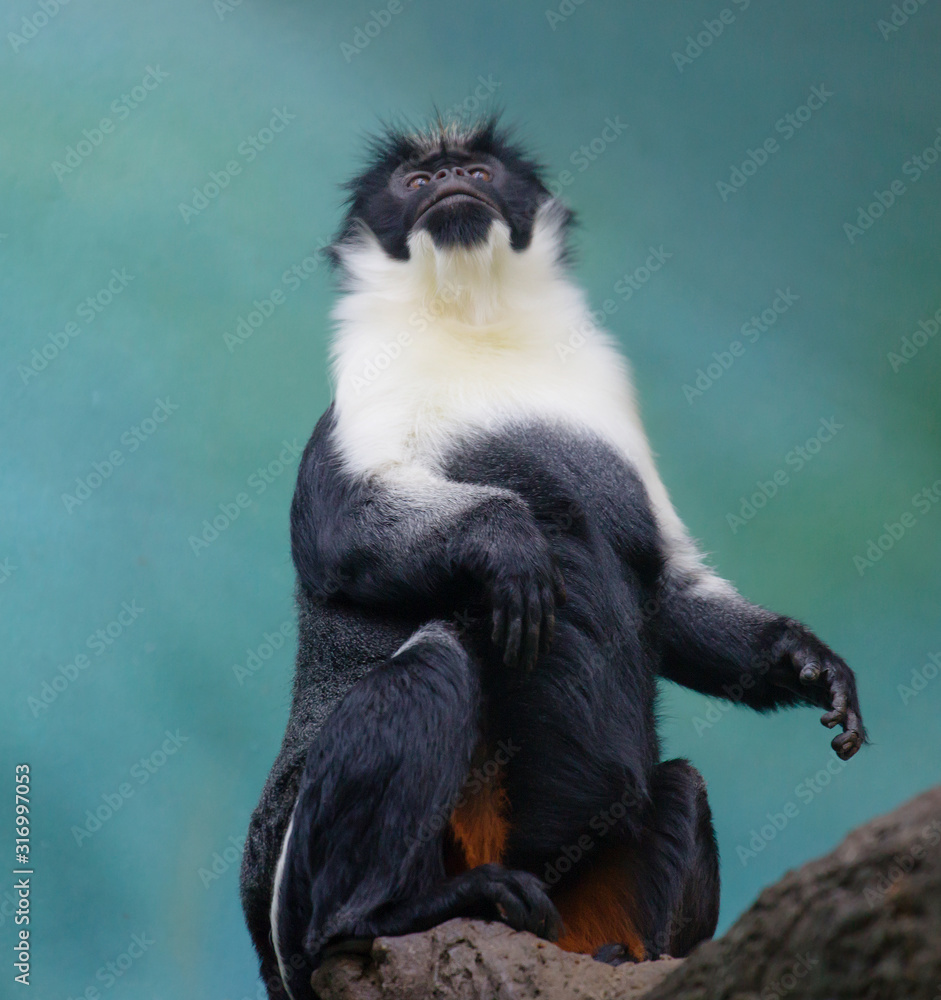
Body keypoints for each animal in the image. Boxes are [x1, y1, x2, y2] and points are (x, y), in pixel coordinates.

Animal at [239, 114, 866, 1000]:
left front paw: (804, 661)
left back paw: (628, 955)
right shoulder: (354, 416)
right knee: (432, 664)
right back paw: (384, 917)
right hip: (305, 885)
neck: (477, 324)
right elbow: (340, 535)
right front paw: (509, 540)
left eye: (476, 171)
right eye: (416, 182)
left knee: (682, 786)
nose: (449, 181)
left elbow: (667, 592)